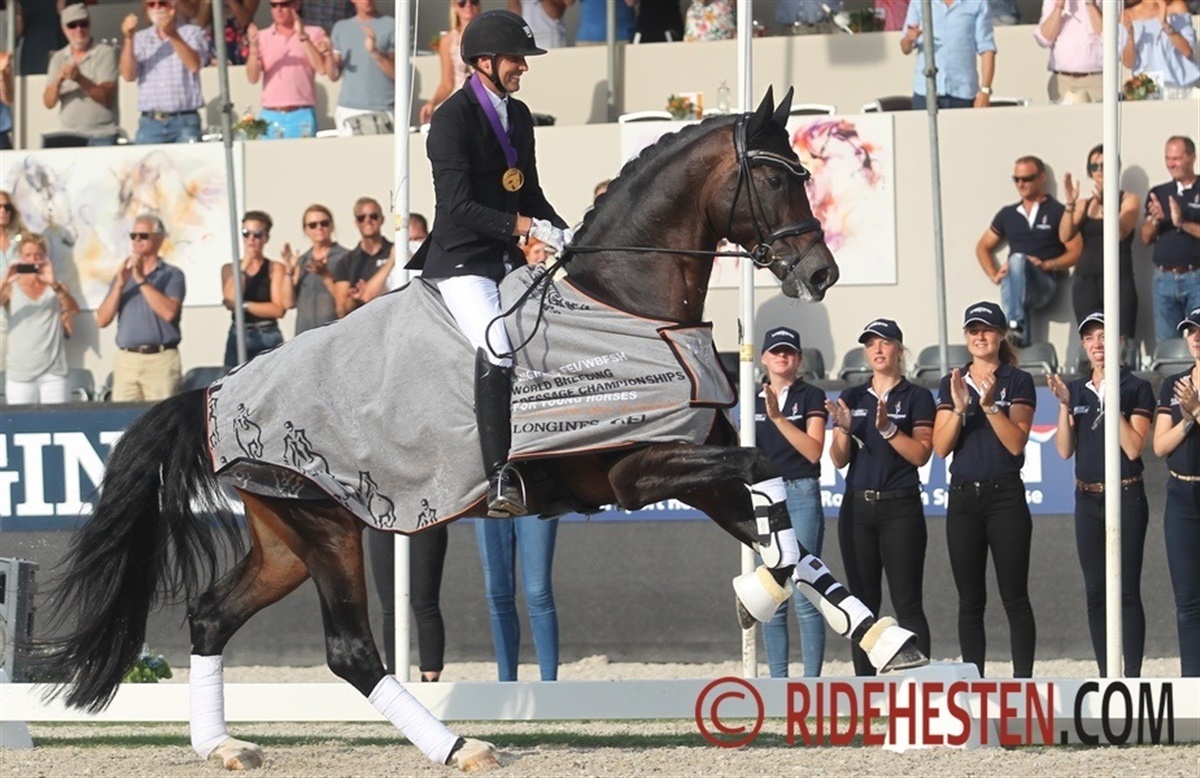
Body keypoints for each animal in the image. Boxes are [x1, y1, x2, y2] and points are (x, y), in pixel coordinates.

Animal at [33, 88, 926, 773]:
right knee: (351, 651)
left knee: (212, 615)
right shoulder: (637, 473)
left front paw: (882, 636)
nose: (821, 274)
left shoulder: (692, 461)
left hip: (288, 535)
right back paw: (460, 746)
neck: (625, 302)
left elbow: (779, 517)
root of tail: (219, 394)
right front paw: (766, 592)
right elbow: (768, 486)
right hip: (328, 526)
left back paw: (221, 746)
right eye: (773, 178)